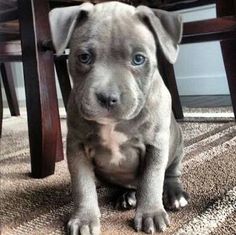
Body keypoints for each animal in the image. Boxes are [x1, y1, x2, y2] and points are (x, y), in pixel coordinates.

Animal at [49, 1, 188, 233]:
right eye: (84, 57)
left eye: (138, 59)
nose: (107, 98)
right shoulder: (76, 148)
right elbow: (82, 186)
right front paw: (84, 219)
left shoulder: (156, 146)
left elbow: (151, 180)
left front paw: (150, 213)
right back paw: (125, 195)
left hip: (176, 145)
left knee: (170, 174)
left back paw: (174, 194)